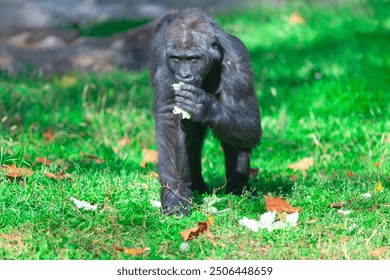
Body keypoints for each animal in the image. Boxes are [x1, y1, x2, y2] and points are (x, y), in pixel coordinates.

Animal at [149, 7, 262, 215]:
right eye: (176, 59)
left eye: (193, 59)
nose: (184, 75)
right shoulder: (163, 58)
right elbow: (170, 118)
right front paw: (175, 195)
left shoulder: (237, 57)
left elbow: (250, 122)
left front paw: (204, 106)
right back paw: (196, 186)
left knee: (236, 137)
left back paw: (237, 190)